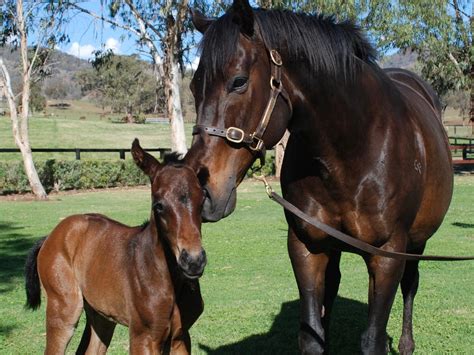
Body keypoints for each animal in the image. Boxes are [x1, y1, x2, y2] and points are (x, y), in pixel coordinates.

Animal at [25, 140, 207, 355]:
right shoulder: (142, 337)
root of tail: (50, 236)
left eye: (203, 199)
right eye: (159, 205)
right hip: (63, 310)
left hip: (101, 315)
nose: (193, 261)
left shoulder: (180, 337)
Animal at [184, 1, 452, 354]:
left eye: (239, 81)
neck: (354, 150)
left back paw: (406, 343)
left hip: (416, 242)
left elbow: (373, 338)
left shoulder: (388, 255)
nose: (201, 188)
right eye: (193, 86)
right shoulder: (307, 247)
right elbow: (312, 333)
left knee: (410, 283)